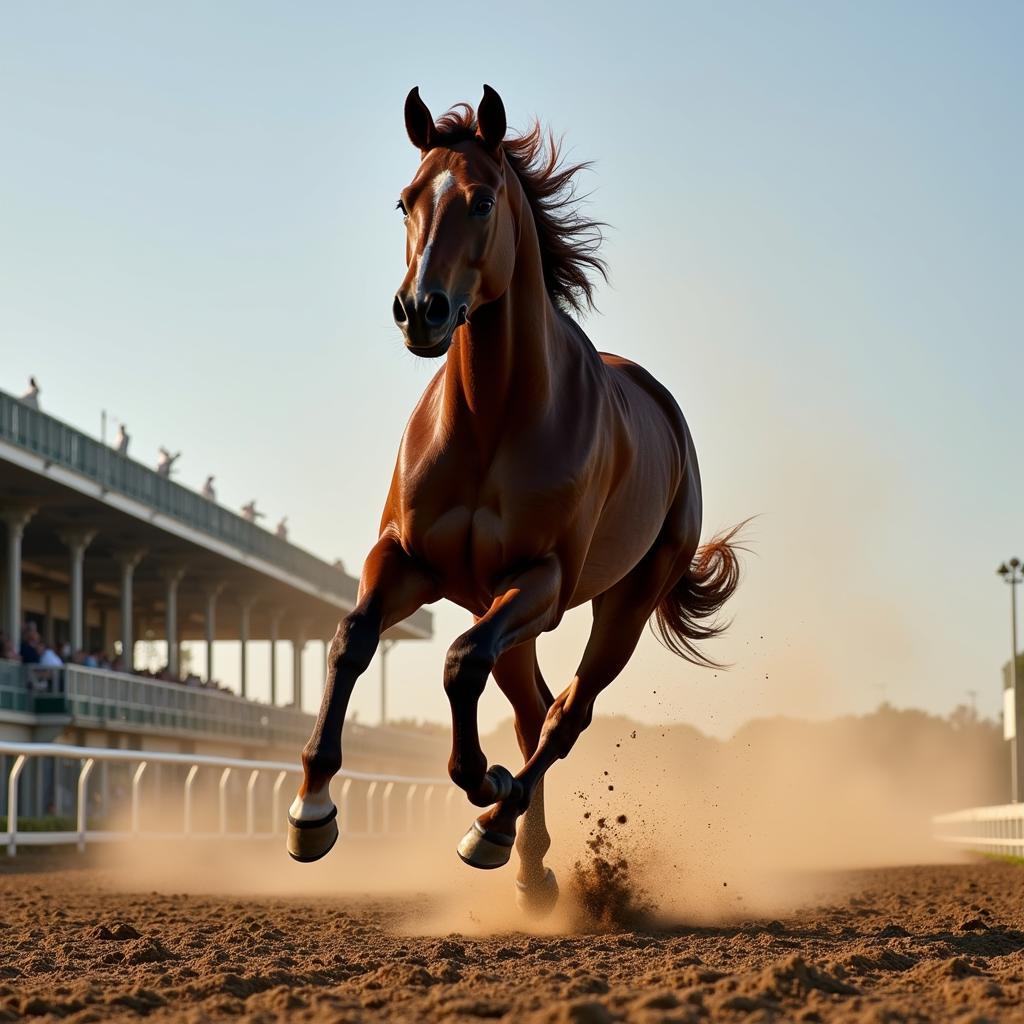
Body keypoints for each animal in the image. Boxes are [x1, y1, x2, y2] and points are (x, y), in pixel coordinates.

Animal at [290, 86, 745, 913]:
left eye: (479, 200)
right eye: (405, 199)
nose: (421, 311)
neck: (490, 419)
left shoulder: (542, 582)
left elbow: (459, 664)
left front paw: (482, 784)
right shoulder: (407, 560)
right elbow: (350, 638)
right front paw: (312, 809)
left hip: (621, 603)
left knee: (565, 714)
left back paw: (496, 829)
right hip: (502, 606)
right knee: (534, 708)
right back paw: (530, 865)